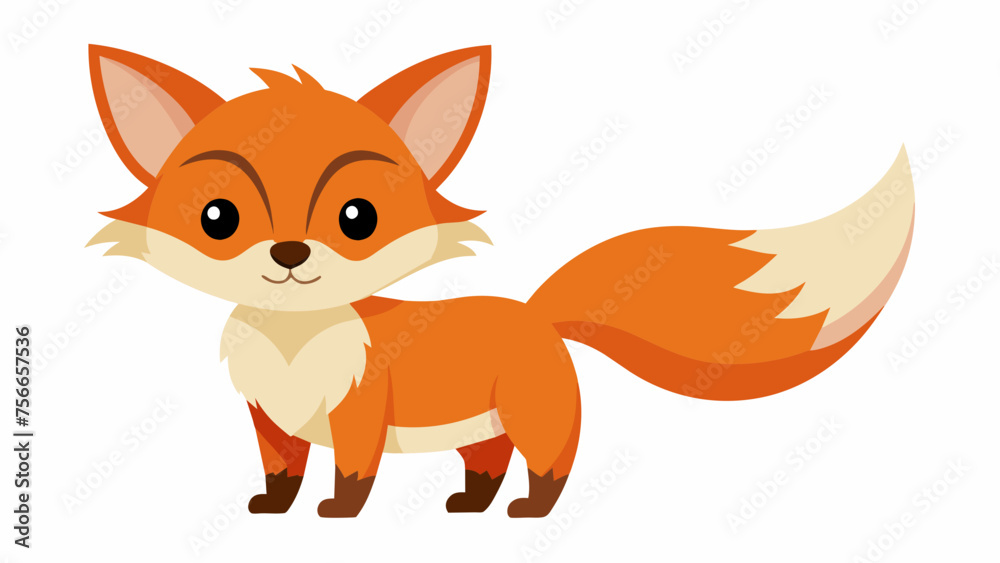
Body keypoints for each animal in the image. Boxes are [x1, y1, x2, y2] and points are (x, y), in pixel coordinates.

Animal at [86, 44, 914, 518]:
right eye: (217, 216)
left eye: (358, 217)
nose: (290, 251)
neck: (296, 349)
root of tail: (536, 312)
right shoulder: (271, 421)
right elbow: (280, 472)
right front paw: (269, 508)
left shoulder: (358, 416)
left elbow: (352, 476)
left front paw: (336, 515)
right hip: (482, 426)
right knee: (487, 463)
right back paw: (468, 505)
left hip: (534, 416)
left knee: (549, 467)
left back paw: (529, 514)